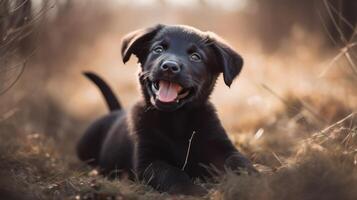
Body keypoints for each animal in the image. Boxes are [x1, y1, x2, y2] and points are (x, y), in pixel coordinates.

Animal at [78, 24, 256, 195]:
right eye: (158, 50)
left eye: (195, 57)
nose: (169, 66)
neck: (176, 120)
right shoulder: (148, 161)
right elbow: (170, 172)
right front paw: (191, 190)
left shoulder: (222, 147)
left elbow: (238, 160)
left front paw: (255, 180)